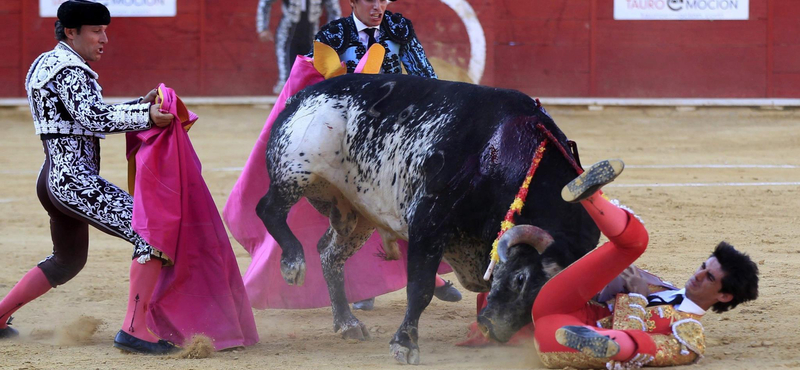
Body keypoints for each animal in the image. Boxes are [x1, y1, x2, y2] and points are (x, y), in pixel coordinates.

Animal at [256, 73, 600, 364]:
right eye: (521, 279)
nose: (493, 329)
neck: (503, 151)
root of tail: (301, 96)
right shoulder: (428, 221)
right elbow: (419, 288)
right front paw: (404, 344)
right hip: (295, 171)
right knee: (268, 209)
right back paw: (293, 264)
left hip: (356, 214)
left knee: (330, 255)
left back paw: (347, 323)